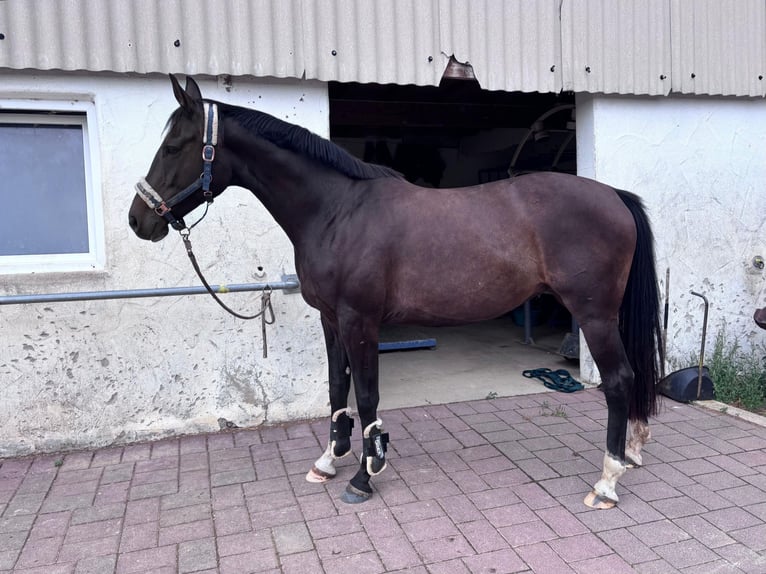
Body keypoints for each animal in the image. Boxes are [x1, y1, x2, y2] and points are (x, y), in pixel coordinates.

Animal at [129, 75, 664, 509]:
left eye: (174, 146)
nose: (139, 221)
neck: (337, 211)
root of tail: (614, 196)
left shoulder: (359, 320)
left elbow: (367, 395)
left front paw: (365, 476)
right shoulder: (331, 319)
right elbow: (337, 388)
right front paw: (330, 460)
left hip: (595, 315)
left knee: (619, 380)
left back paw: (607, 482)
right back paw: (631, 453)